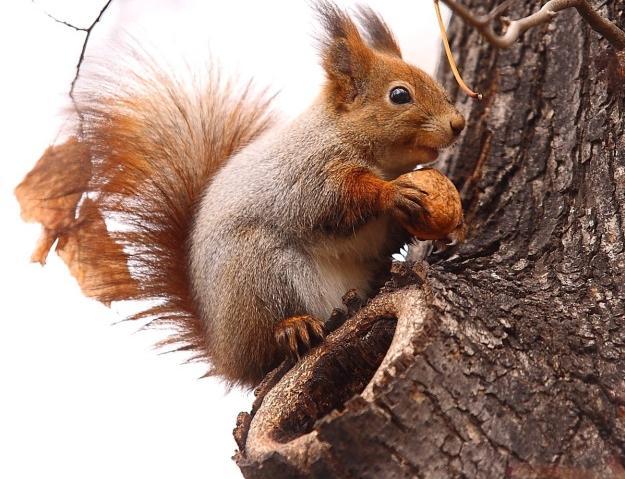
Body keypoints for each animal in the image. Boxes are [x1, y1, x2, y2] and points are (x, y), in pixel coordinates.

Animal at [17, 1, 464, 388]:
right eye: (399, 95)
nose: (458, 123)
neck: (345, 135)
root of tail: (225, 352)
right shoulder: (306, 173)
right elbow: (336, 200)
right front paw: (393, 194)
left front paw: (443, 226)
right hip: (259, 268)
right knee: (268, 346)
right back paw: (292, 327)